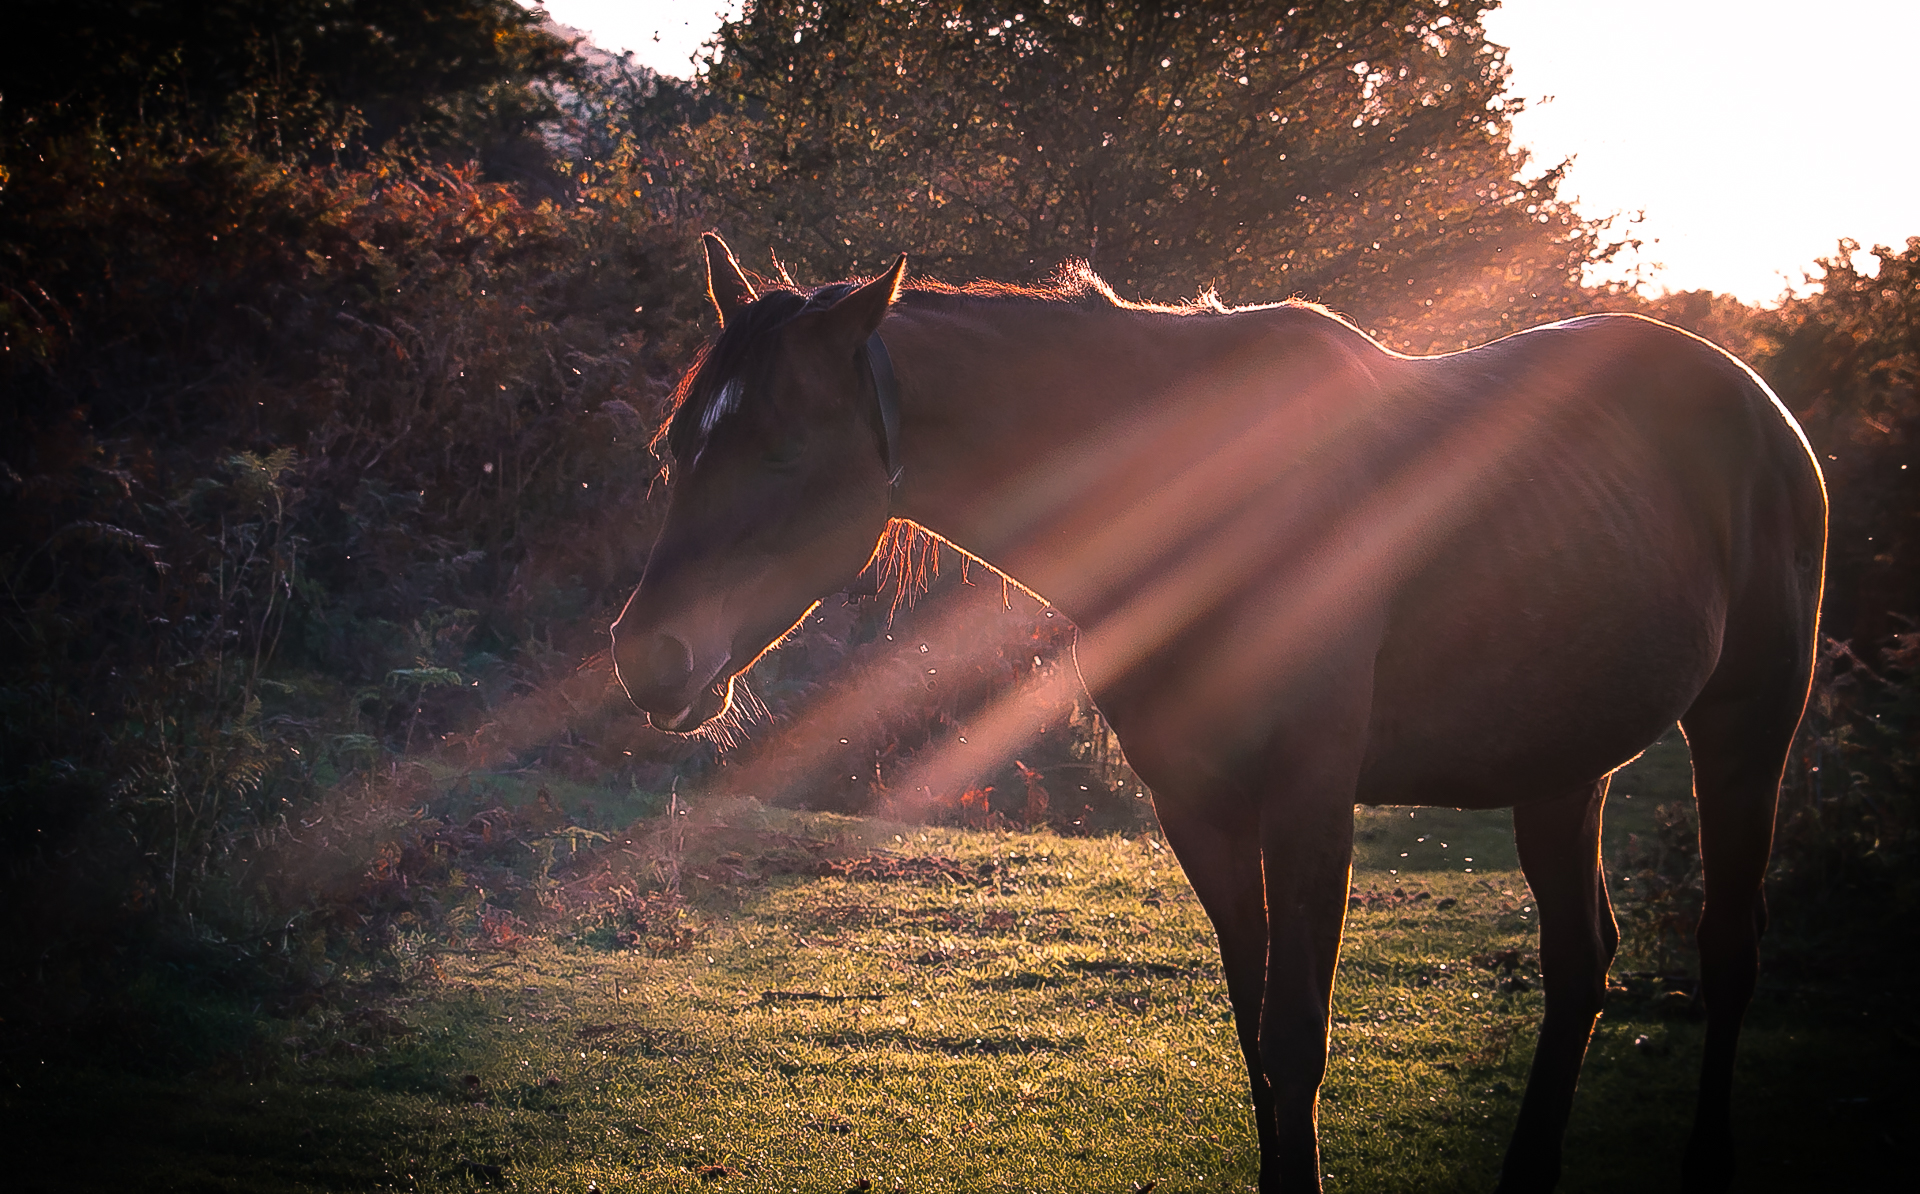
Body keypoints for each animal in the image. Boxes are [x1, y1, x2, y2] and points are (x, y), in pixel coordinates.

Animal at [610, 233, 1826, 1193]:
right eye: (676, 448)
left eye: (783, 449)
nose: (648, 658)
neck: (1209, 492)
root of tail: (1759, 404)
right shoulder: (1197, 804)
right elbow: (1254, 1037)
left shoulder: (1310, 801)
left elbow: (1296, 1039)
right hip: (1562, 765)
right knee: (1580, 960)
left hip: (1746, 729)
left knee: (1728, 946)